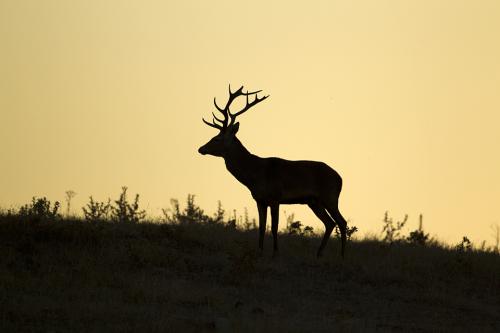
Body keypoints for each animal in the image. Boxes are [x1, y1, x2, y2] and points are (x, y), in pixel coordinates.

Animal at [198, 85, 348, 256]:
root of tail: (340, 178)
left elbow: (274, 228)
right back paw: (318, 254)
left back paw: (342, 256)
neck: (254, 175)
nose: (201, 148)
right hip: (313, 201)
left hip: (330, 197)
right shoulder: (259, 200)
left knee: (341, 221)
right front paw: (260, 251)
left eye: (216, 138)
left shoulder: (275, 197)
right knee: (330, 223)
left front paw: (275, 253)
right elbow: (262, 228)